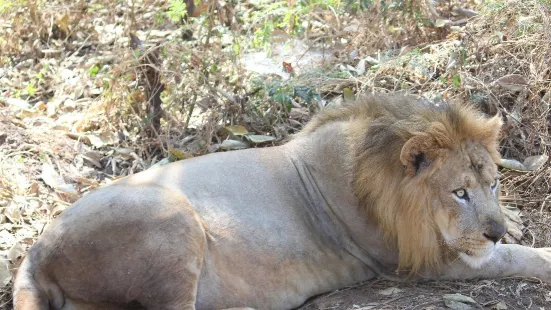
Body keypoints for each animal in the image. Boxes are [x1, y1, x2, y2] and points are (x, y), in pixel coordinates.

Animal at [10, 94, 551, 310]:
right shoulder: (421, 262)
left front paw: (515, 225)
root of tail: (35, 252)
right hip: (172, 219)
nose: (493, 230)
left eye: (494, 184)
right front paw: (529, 250)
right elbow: (511, 259)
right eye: (459, 192)